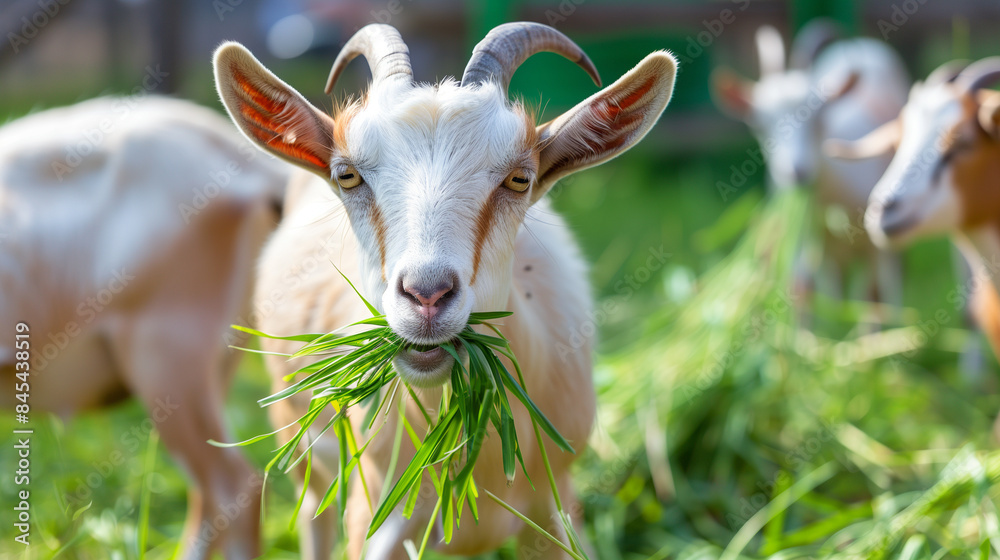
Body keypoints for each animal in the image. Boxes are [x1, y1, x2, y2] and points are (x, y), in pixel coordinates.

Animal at [213, 22, 676, 559]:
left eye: (520, 178)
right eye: (347, 175)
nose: (427, 296)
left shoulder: (557, 503)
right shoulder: (374, 516)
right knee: (313, 511)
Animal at [713, 21, 909, 306]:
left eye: (819, 117)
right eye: (758, 124)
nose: (797, 172)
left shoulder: (878, 245)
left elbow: (877, 296)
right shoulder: (805, 245)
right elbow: (807, 291)